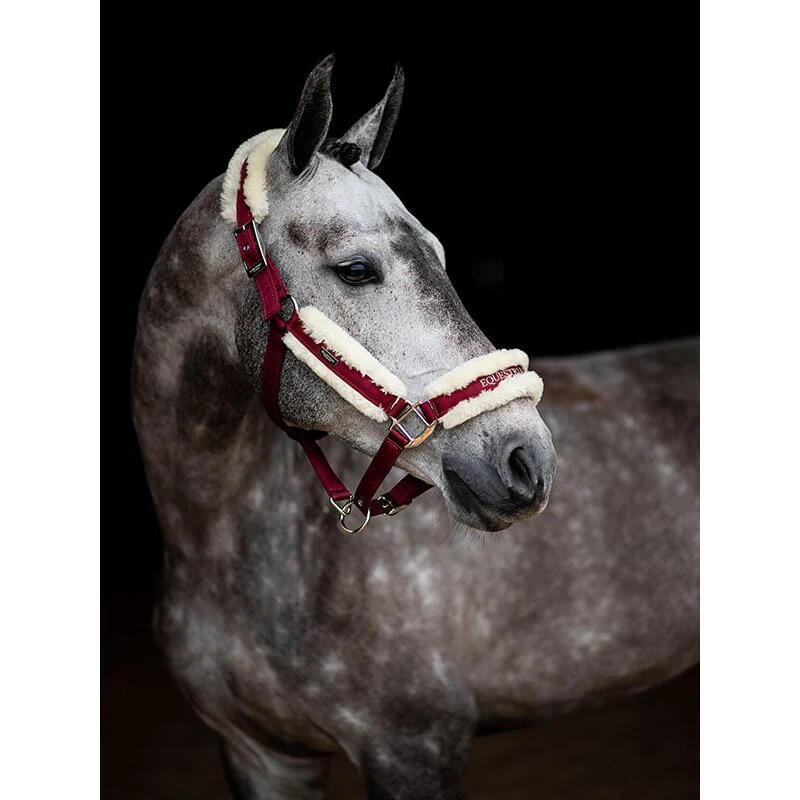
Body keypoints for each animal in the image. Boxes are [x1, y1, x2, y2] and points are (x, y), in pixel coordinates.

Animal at [132, 55, 699, 799]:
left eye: (439, 254)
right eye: (355, 269)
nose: (527, 460)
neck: (226, 545)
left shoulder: (414, 749)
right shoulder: (261, 756)